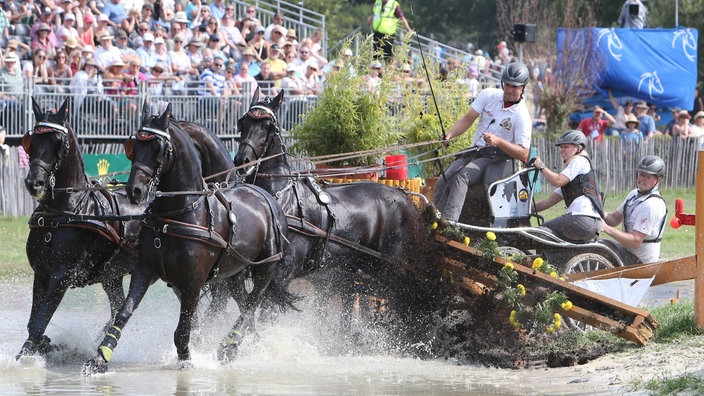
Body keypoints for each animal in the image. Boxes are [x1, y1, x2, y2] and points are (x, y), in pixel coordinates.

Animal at [17, 96, 146, 358]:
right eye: (30, 141)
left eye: (57, 142)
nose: (34, 183)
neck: (64, 212)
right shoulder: (41, 272)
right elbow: (33, 322)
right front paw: (46, 345)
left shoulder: (62, 275)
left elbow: (39, 321)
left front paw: (25, 355)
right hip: (111, 276)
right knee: (116, 308)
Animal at [82, 103, 292, 372]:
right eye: (133, 147)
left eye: (158, 148)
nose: (134, 190)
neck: (179, 214)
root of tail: (266, 196)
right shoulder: (145, 269)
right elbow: (124, 311)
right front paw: (101, 356)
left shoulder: (193, 282)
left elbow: (183, 330)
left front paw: (186, 360)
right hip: (233, 273)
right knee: (244, 302)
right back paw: (250, 345)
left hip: (265, 268)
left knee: (251, 303)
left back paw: (230, 346)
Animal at [236, 89, 446, 344]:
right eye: (243, 122)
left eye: (268, 126)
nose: (242, 161)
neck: (280, 200)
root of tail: (404, 197)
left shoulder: (284, 271)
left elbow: (263, 309)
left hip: (395, 267)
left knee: (410, 299)